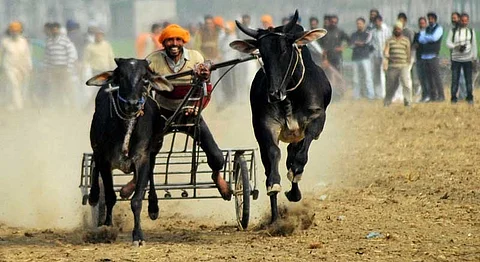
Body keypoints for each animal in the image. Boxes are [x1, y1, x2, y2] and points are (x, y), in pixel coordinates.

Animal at [231, 10, 332, 223]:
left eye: (284, 50)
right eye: (261, 53)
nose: (274, 93)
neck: (290, 96)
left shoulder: (316, 119)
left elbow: (300, 156)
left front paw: (295, 176)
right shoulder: (265, 125)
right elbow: (273, 154)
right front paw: (274, 183)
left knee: (294, 155)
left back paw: (293, 190)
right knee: (271, 162)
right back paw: (275, 218)